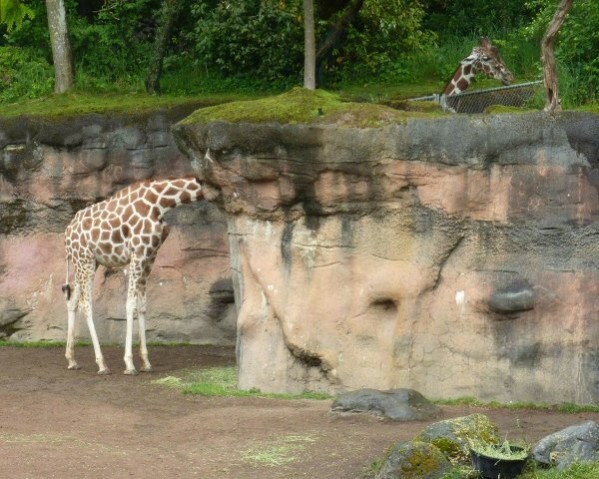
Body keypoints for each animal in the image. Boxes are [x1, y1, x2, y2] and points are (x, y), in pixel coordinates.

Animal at [62, 176, 204, 376]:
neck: (161, 202)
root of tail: (66, 234)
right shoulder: (137, 254)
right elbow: (130, 304)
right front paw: (129, 364)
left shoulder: (150, 255)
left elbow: (142, 305)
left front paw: (146, 362)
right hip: (84, 259)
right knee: (85, 303)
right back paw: (102, 364)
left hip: (87, 261)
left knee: (73, 298)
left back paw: (72, 359)